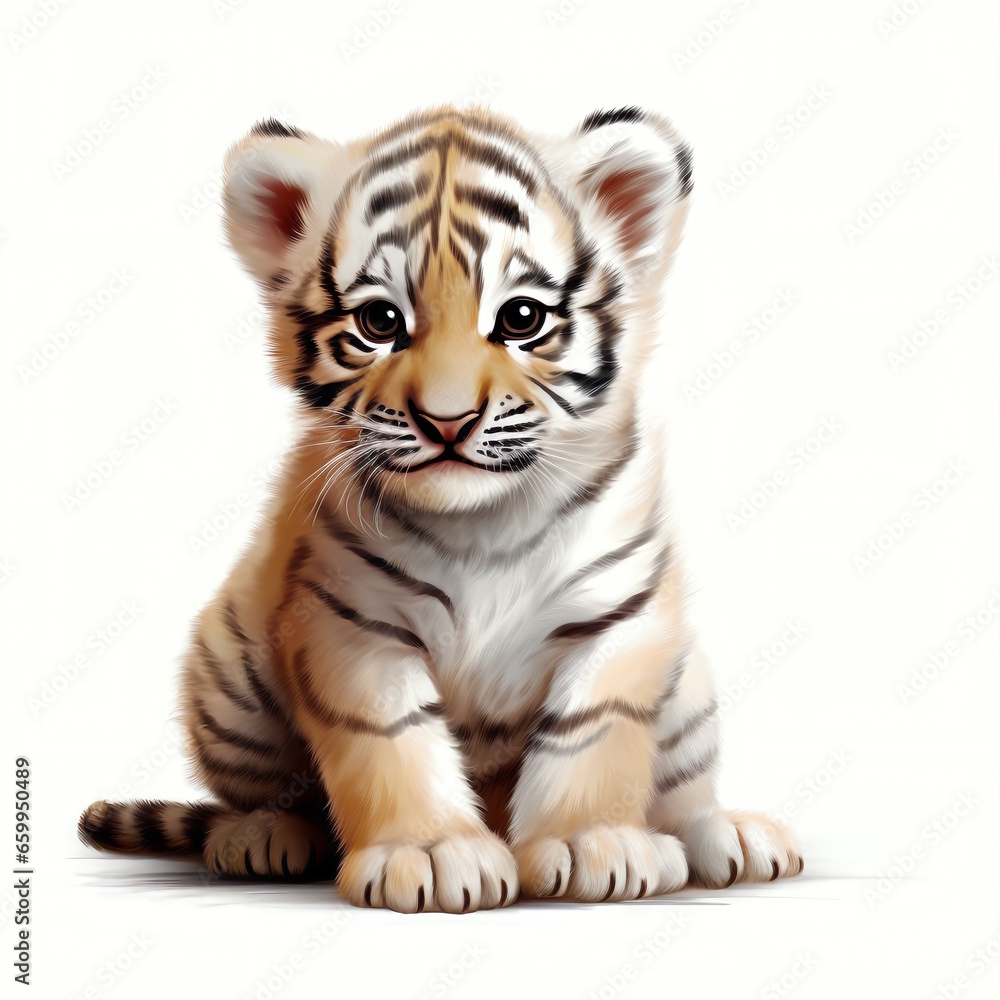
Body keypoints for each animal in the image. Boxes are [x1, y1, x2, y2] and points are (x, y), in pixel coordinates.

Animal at [78, 105, 802, 912]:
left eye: (521, 318)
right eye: (379, 322)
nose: (447, 421)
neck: (487, 523)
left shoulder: (621, 617)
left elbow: (594, 732)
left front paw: (595, 842)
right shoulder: (350, 622)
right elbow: (392, 738)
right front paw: (428, 853)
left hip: (691, 697)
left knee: (685, 788)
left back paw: (729, 837)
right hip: (227, 676)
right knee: (267, 792)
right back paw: (261, 837)